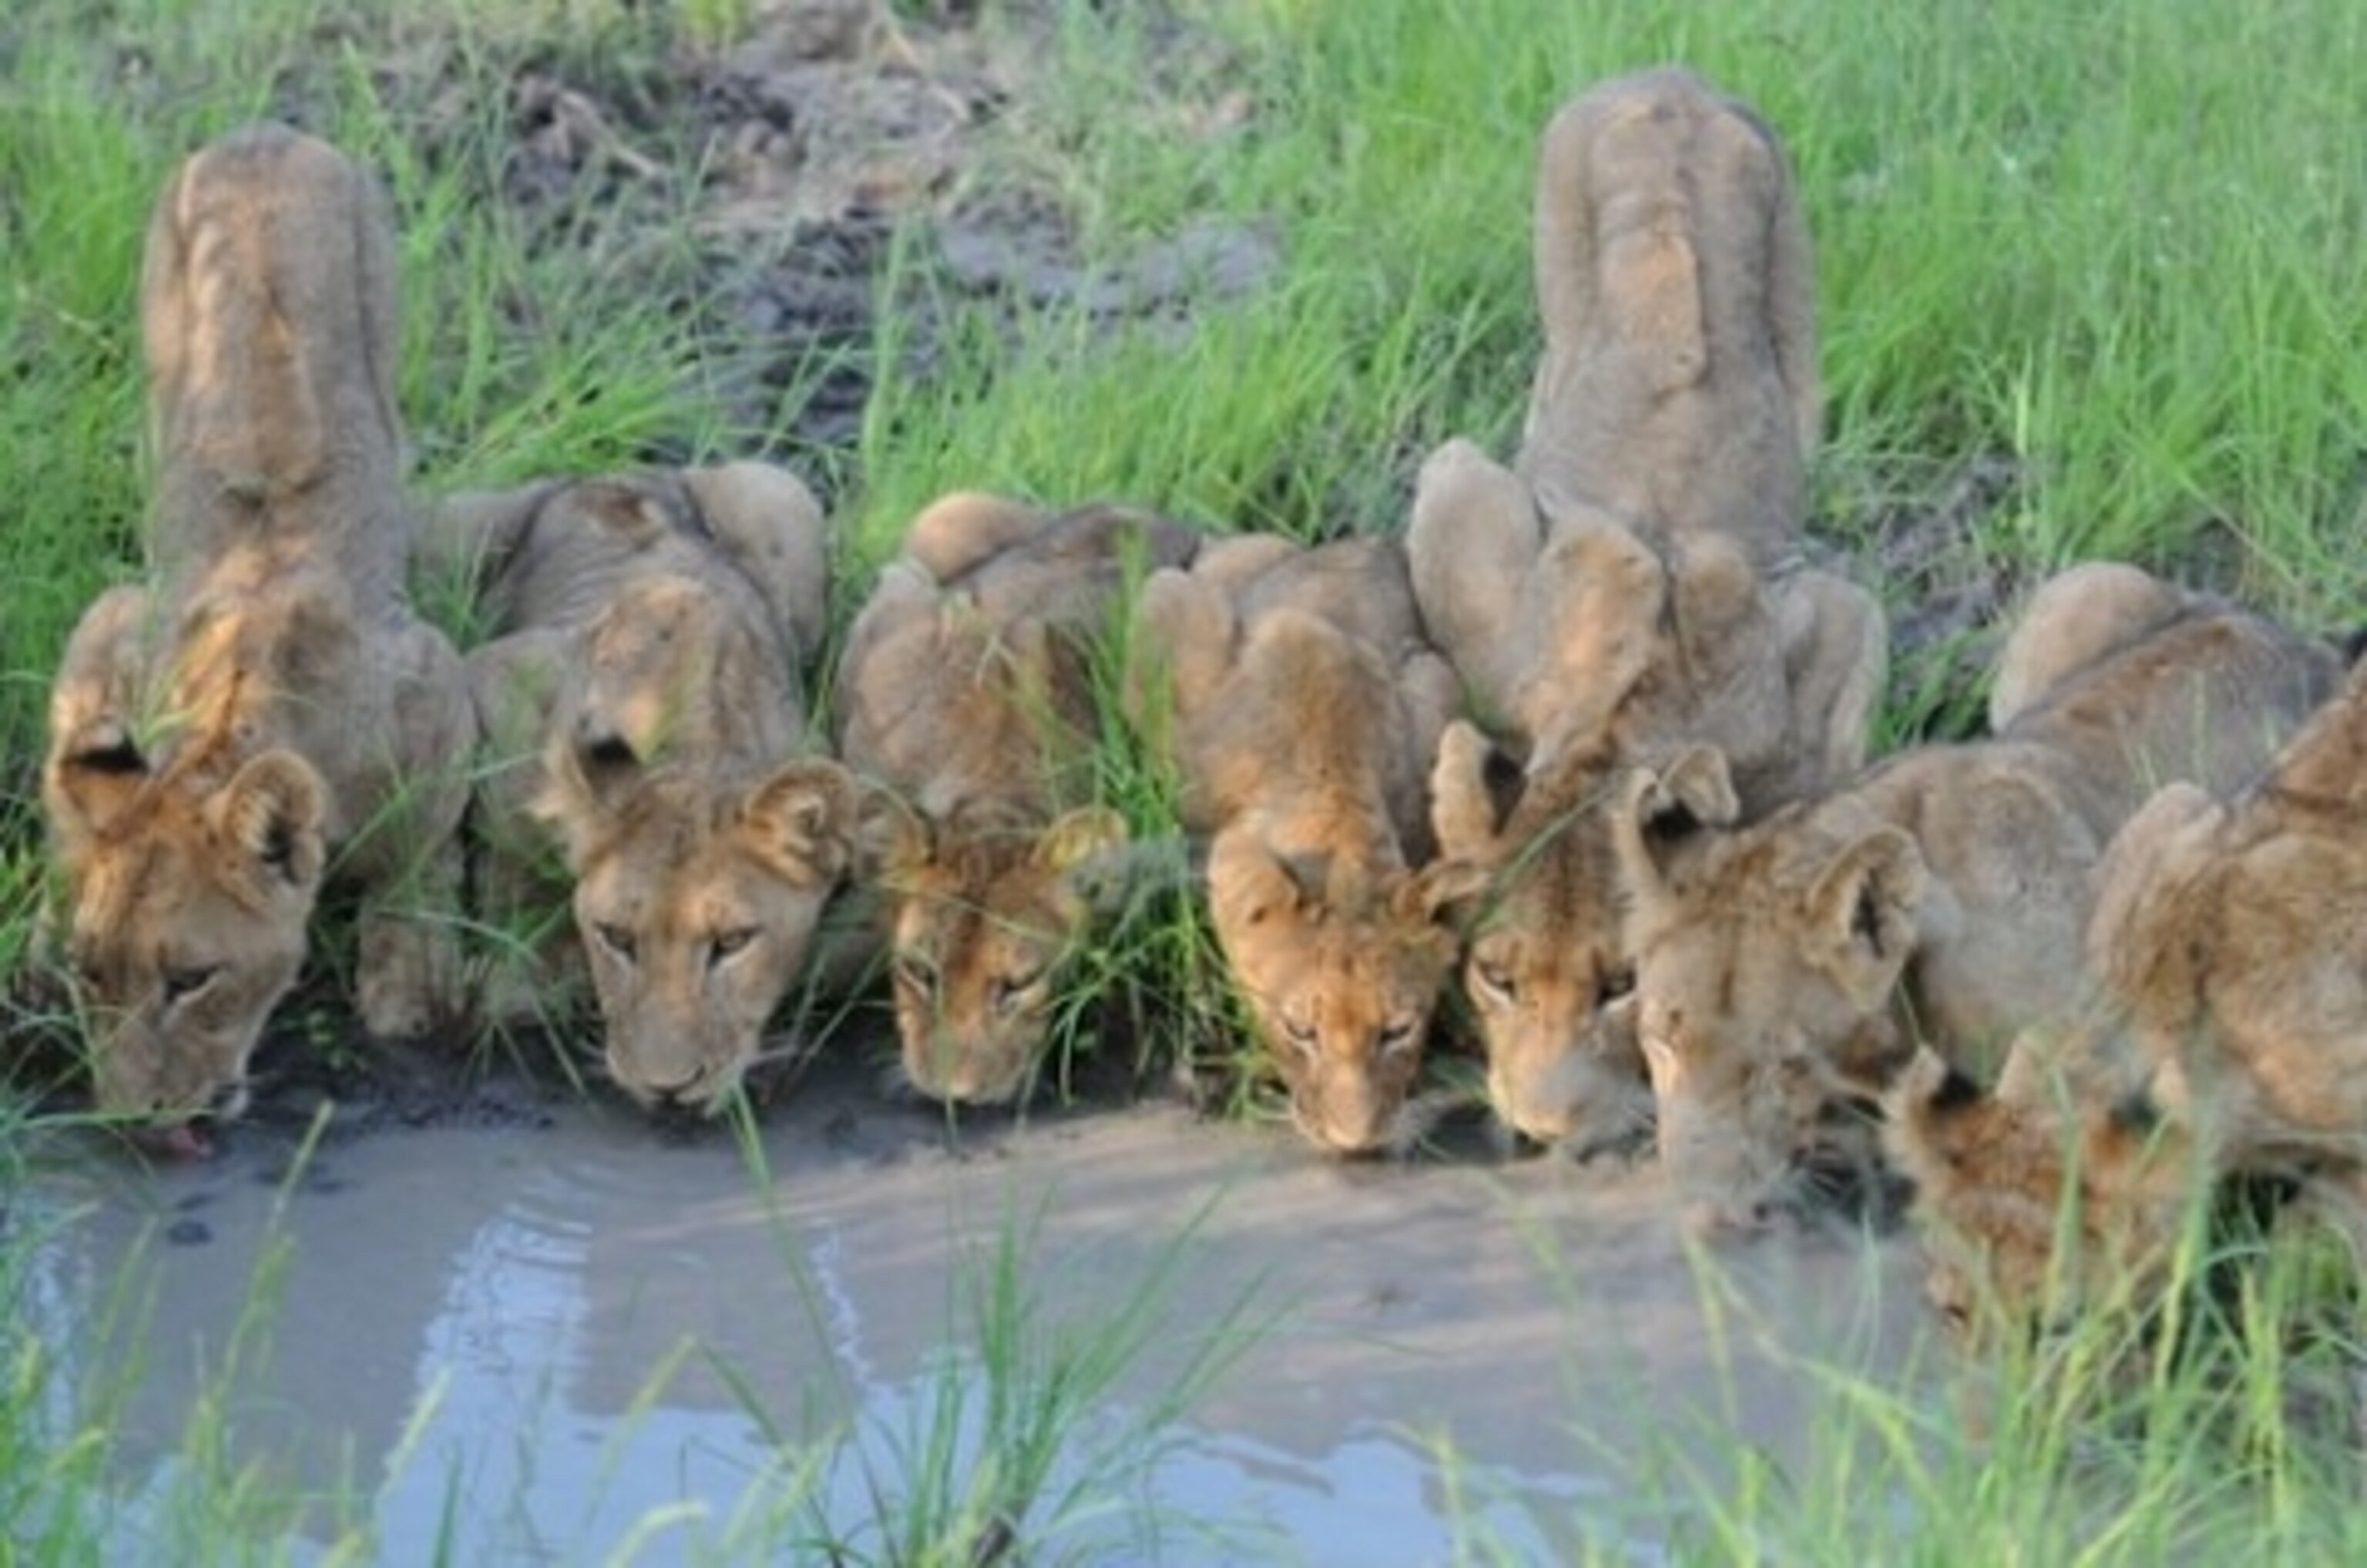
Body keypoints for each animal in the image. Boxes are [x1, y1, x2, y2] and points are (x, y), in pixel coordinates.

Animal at [41, 126, 473, 1152]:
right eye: (92, 972)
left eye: (191, 981)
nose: (132, 1124)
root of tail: (265, 133)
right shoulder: (118, 621)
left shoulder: (434, 680)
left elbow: (422, 848)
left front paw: (408, 973)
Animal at [421, 461, 853, 1116]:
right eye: (617, 938)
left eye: (733, 941)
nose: (668, 1088)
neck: (695, 742)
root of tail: (618, 474)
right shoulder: (499, 672)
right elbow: (517, 835)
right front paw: (516, 968)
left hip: (781, 503)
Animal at [833, 492, 1202, 1107]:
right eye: (920, 972)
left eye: (1019, 984)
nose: (954, 1096)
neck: (992, 781)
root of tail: (1137, 507)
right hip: (951, 509)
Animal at [1406, 70, 1886, 1153]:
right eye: (1497, 976)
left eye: (1621, 983)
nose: (1547, 1126)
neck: (1617, 732)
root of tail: (1672, 80)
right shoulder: (1462, 499)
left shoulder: (1836, 623)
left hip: (1802, 333)